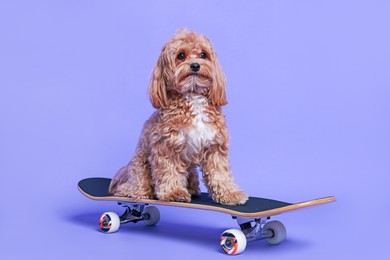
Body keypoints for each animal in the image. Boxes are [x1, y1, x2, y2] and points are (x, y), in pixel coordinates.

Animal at [109, 29, 248, 205]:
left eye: (203, 55)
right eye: (181, 55)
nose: (195, 65)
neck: (193, 96)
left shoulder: (215, 145)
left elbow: (220, 173)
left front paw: (230, 193)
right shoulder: (166, 145)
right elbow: (170, 171)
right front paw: (174, 192)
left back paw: (193, 190)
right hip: (140, 166)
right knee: (135, 185)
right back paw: (139, 192)